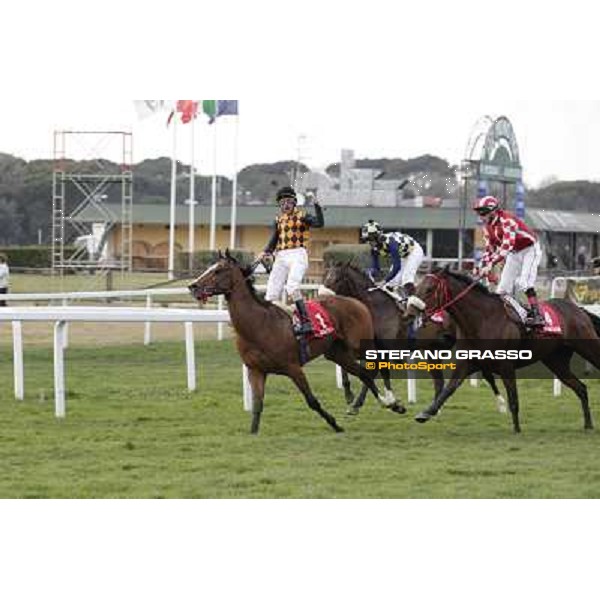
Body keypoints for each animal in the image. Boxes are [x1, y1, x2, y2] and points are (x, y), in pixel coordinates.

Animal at [189, 251, 390, 434]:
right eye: (210, 267)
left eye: (218, 270)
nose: (192, 286)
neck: (259, 325)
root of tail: (356, 302)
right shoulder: (256, 370)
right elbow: (257, 405)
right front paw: (253, 432)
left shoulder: (293, 367)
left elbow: (312, 400)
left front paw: (335, 424)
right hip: (337, 353)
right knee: (363, 373)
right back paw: (378, 403)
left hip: (360, 345)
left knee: (377, 364)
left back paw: (389, 400)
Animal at [324, 262, 506, 412]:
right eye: (326, 277)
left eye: (335, 279)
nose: (323, 297)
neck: (378, 309)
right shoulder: (370, 348)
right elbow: (355, 368)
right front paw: (351, 396)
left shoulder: (384, 350)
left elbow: (374, 373)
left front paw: (370, 403)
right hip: (435, 350)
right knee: (440, 382)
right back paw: (434, 408)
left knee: (483, 373)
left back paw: (501, 403)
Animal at [408, 270, 600, 434]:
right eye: (417, 286)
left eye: (430, 289)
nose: (410, 310)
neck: (482, 319)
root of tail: (579, 309)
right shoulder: (468, 363)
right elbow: (448, 389)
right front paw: (426, 413)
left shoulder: (506, 366)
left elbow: (513, 398)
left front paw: (516, 429)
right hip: (556, 361)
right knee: (581, 388)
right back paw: (588, 424)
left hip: (588, 347)